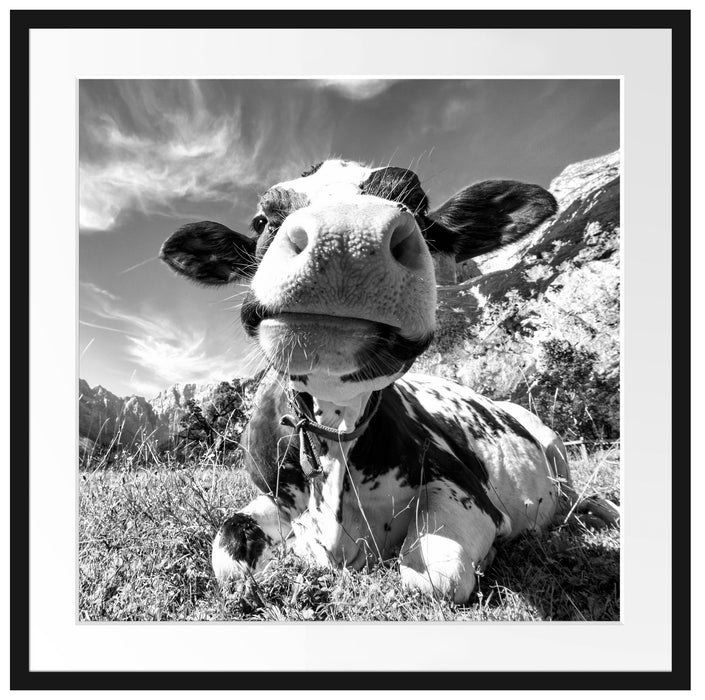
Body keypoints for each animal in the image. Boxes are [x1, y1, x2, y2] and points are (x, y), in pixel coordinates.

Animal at [160, 159, 613, 604]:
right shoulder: (271, 496)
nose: (346, 237)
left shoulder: (467, 488)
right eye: (260, 220)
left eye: (419, 205)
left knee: (576, 497)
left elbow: (436, 577)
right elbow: (228, 553)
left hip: (554, 446)